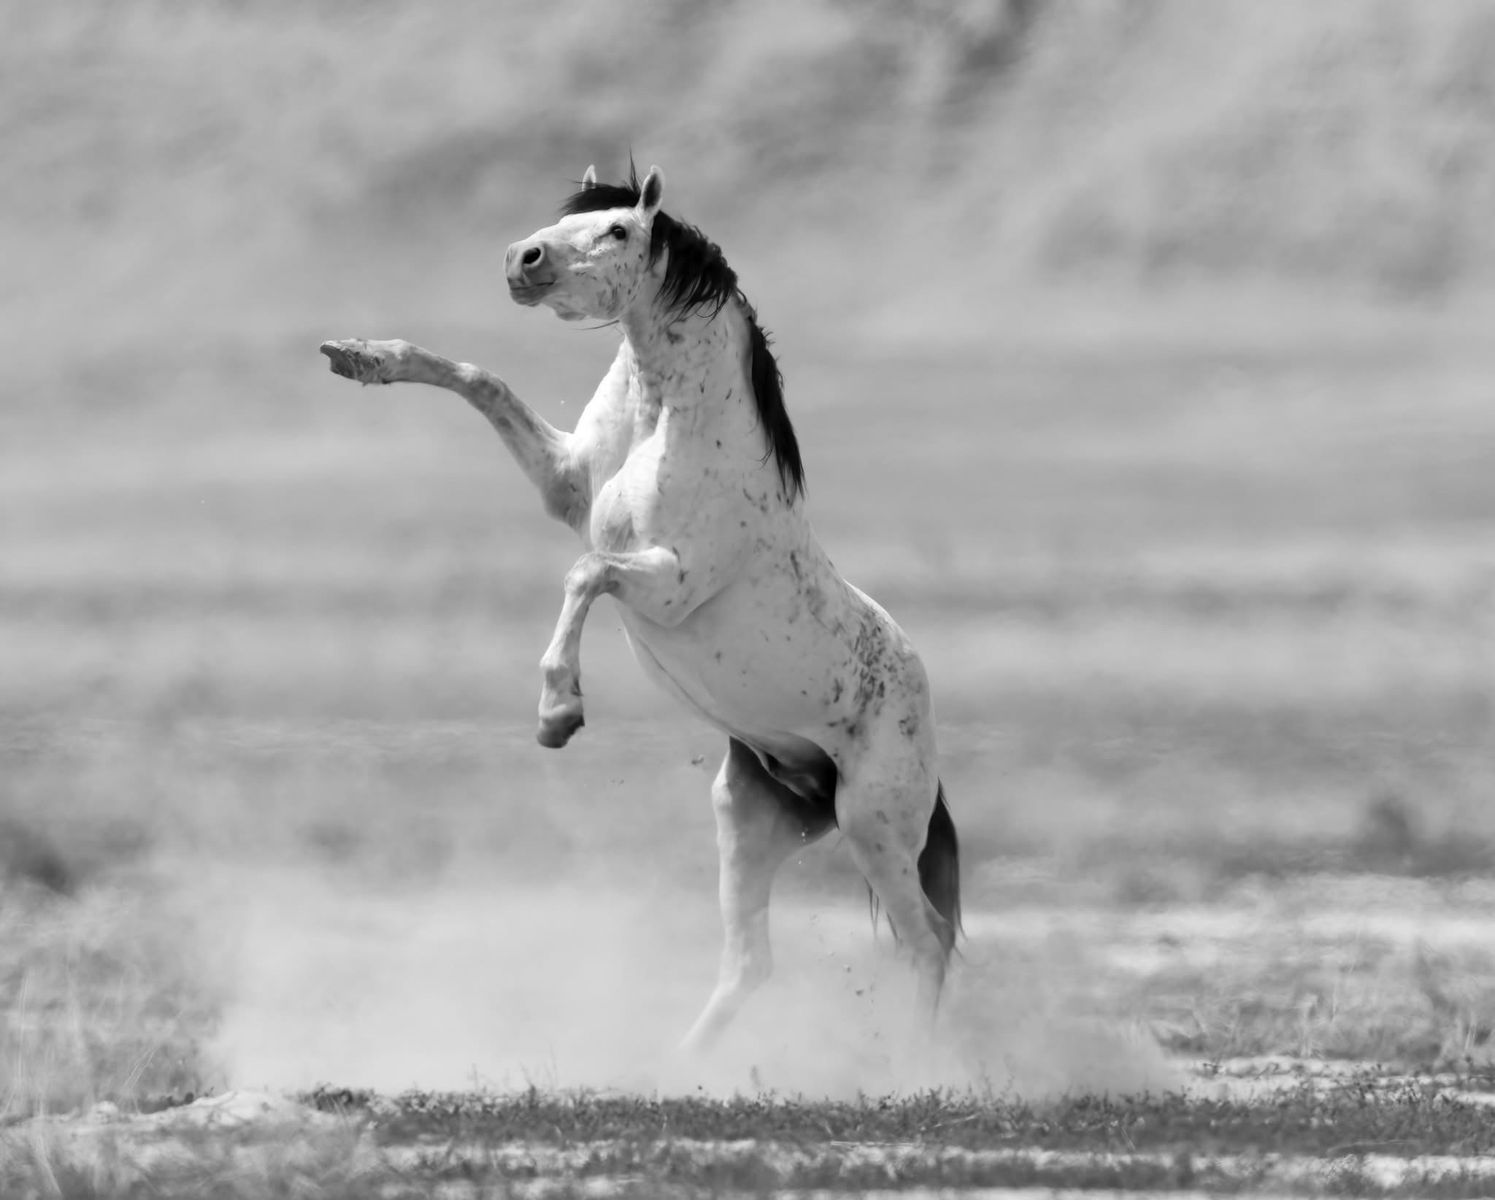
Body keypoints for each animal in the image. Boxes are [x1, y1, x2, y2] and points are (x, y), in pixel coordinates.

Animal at [320, 163, 959, 1052]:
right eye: (574, 217)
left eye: (621, 230)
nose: (521, 259)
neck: (668, 422)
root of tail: (917, 693)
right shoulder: (566, 486)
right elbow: (482, 378)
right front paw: (360, 356)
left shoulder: (669, 582)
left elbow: (586, 572)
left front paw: (558, 712)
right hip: (748, 819)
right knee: (752, 962)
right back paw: (674, 1063)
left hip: (873, 822)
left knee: (925, 942)